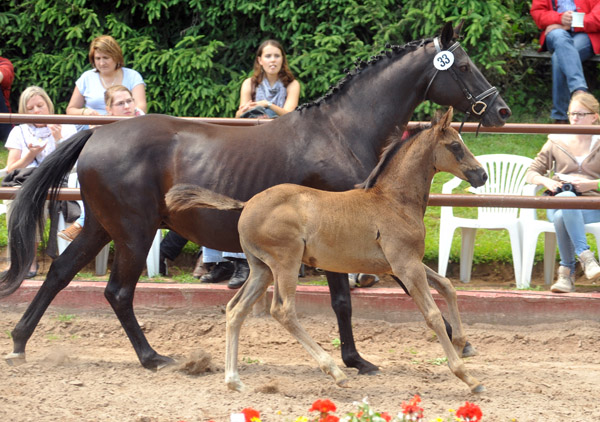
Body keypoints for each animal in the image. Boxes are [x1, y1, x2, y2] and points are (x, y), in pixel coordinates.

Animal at [164, 108, 488, 392]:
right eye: (455, 146)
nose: (481, 175)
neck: (393, 200)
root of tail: (246, 204)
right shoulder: (404, 264)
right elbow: (432, 314)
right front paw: (467, 377)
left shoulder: (405, 263)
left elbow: (447, 286)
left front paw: (462, 342)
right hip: (286, 263)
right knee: (283, 310)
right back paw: (334, 372)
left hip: (261, 269)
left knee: (235, 309)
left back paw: (234, 381)